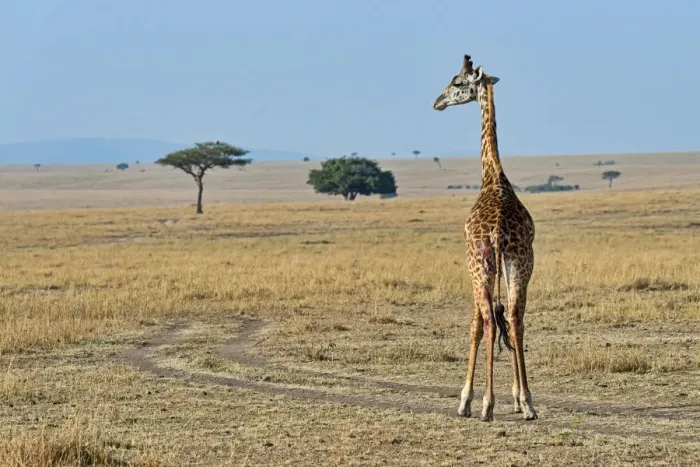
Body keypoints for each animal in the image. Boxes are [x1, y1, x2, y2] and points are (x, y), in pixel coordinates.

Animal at [433, 54, 537, 421]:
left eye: (457, 82)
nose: (437, 102)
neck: (492, 175)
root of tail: (496, 231)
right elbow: (511, 319)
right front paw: (519, 399)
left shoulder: (473, 266)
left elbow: (476, 325)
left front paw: (465, 400)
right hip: (520, 264)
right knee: (516, 319)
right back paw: (529, 403)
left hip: (481, 266)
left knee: (490, 322)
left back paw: (486, 405)